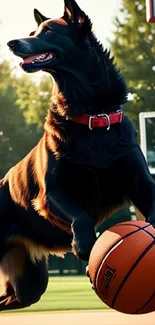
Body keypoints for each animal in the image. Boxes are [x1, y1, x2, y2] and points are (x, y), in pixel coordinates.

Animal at [0, 0, 154, 310]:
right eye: (33, 32)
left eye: (48, 31)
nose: (11, 42)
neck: (91, 115)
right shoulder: (52, 194)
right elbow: (80, 216)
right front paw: (84, 245)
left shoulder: (139, 182)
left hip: (28, 284)